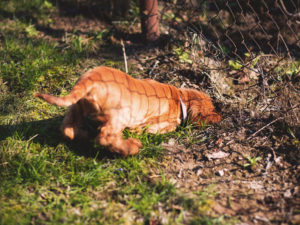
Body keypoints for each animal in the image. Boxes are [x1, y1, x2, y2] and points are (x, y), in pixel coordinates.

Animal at [34, 66, 220, 156]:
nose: (220, 116)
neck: (180, 97)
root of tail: (90, 80)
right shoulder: (158, 124)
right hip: (119, 115)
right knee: (106, 137)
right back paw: (131, 147)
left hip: (76, 107)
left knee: (68, 129)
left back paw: (87, 134)